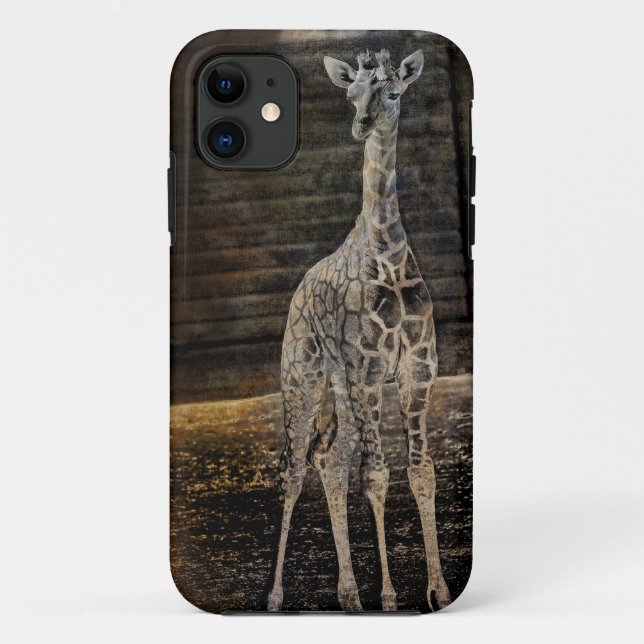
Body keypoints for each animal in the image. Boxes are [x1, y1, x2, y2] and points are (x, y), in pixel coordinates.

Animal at [267, 48, 451, 613]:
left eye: (392, 92)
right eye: (351, 94)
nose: (360, 125)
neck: (387, 251)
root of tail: (299, 291)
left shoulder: (417, 370)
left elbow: (420, 471)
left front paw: (438, 589)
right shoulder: (370, 371)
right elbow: (376, 475)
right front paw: (390, 595)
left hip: (343, 386)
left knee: (330, 457)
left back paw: (347, 593)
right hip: (304, 374)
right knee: (294, 466)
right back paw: (276, 595)